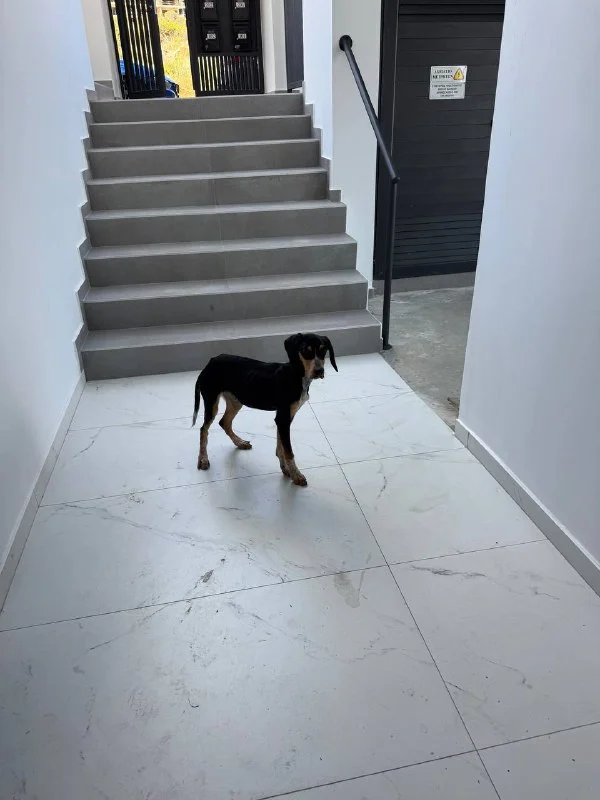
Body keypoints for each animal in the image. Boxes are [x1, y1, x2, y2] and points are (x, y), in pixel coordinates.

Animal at [192, 333, 337, 486]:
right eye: (305, 350)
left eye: (323, 350)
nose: (319, 371)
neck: (296, 375)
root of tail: (210, 362)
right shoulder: (283, 418)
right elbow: (288, 451)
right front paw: (296, 475)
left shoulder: (284, 418)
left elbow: (281, 447)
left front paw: (285, 468)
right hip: (211, 401)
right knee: (204, 429)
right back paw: (203, 459)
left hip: (236, 401)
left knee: (224, 422)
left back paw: (240, 443)